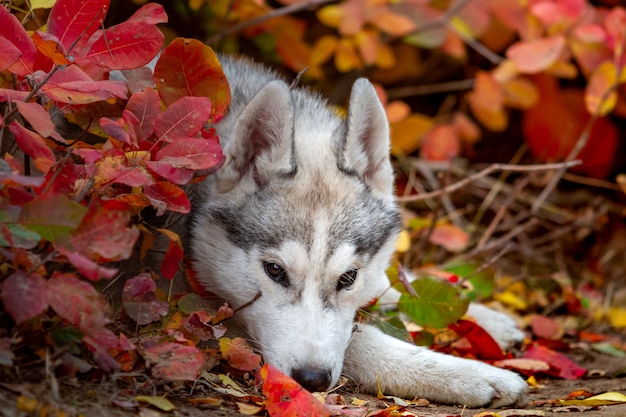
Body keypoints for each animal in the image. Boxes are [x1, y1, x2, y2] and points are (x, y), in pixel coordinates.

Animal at [186, 56, 528, 406]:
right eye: (274, 271)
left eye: (348, 277)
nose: (312, 379)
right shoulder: (201, 305)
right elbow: (360, 343)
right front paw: (469, 373)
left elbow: (395, 286)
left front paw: (481, 316)